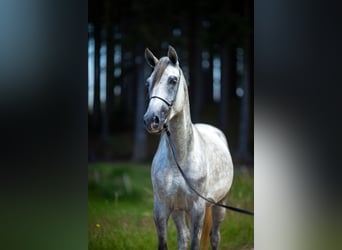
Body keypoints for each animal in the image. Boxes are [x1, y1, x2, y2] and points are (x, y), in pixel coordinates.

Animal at [143, 46, 234, 249]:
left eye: (173, 80)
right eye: (148, 83)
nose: (151, 120)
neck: (180, 157)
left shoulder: (198, 209)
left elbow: (195, 243)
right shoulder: (161, 209)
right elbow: (166, 243)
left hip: (219, 204)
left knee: (215, 237)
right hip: (178, 210)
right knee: (183, 237)